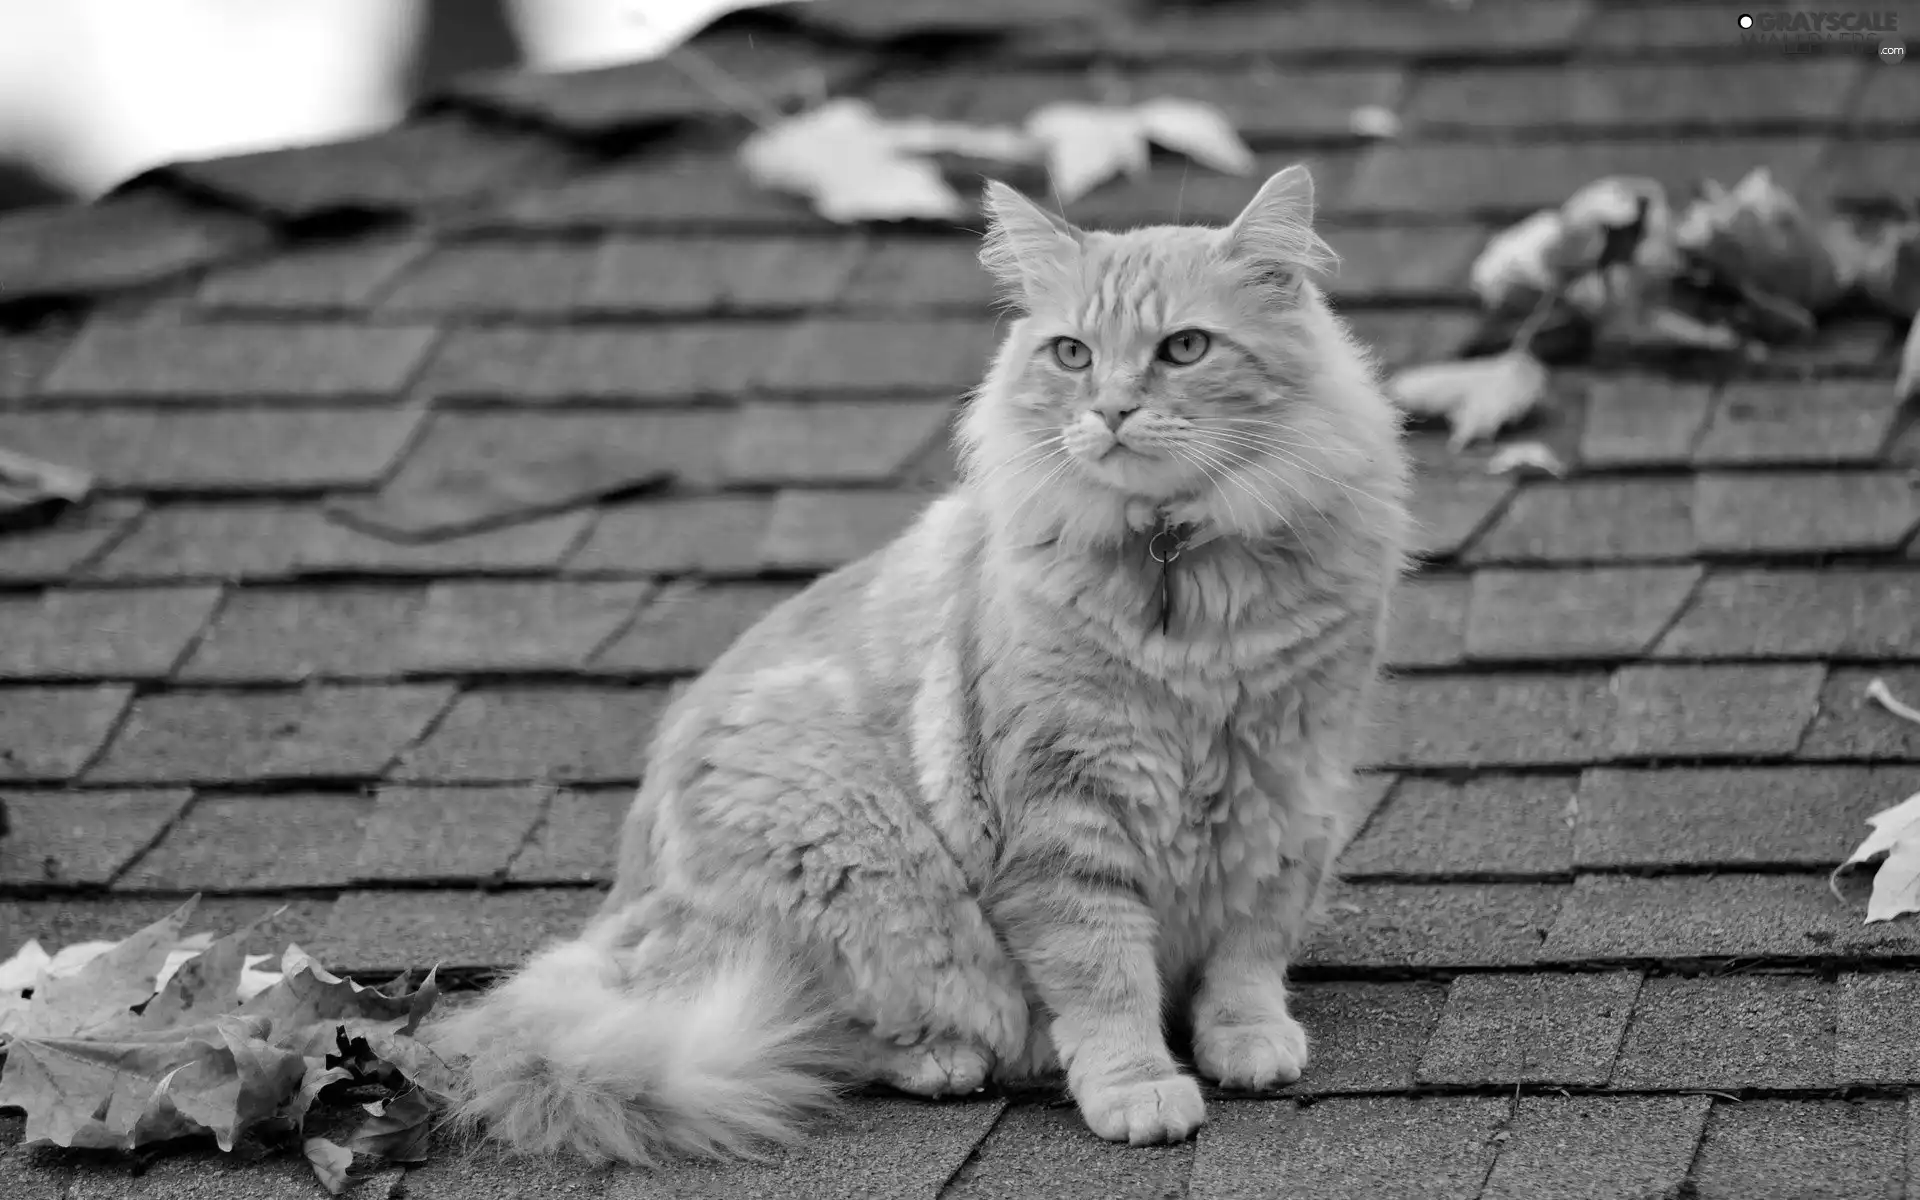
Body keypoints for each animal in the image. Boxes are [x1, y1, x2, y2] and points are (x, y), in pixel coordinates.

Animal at [432, 159, 1413, 1159]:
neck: (1183, 583)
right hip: (842, 859)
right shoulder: (1062, 814)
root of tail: (616, 919)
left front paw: (1246, 1039)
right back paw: (947, 1060)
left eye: (1184, 348)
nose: (1109, 410)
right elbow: (1105, 979)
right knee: (803, 1031)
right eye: (1071, 355)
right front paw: (1138, 1089)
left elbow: (1249, 950)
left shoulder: (1287, 786)